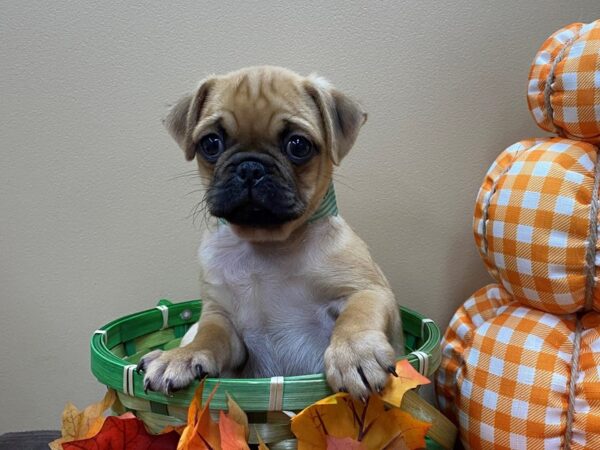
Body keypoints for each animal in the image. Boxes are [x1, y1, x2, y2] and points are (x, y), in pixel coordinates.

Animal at [138, 65, 404, 400]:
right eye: (210, 144)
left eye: (298, 146)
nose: (250, 167)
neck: (267, 244)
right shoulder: (219, 316)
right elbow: (208, 336)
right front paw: (181, 357)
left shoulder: (368, 291)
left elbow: (357, 316)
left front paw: (355, 354)